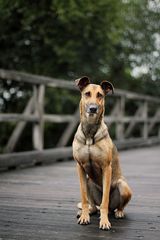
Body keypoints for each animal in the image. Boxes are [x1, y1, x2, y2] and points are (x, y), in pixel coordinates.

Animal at [73, 77, 132, 231]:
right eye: (87, 93)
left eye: (100, 95)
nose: (93, 108)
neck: (89, 132)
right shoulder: (80, 167)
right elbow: (84, 198)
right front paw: (84, 217)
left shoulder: (106, 168)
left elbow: (105, 200)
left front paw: (104, 222)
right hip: (89, 181)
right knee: (94, 206)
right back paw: (89, 211)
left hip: (123, 186)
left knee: (113, 206)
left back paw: (118, 212)